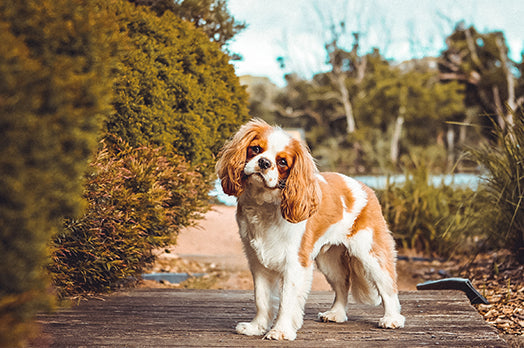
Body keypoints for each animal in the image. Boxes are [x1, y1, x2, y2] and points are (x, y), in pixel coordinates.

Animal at [215, 119, 404, 340]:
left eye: (282, 162)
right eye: (255, 149)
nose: (264, 162)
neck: (265, 204)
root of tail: (365, 186)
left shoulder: (295, 263)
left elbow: (287, 300)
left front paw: (280, 330)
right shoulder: (258, 263)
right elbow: (261, 299)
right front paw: (257, 327)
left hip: (370, 253)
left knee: (388, 286)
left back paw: (392, 318)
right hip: (329, 261)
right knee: (343, 284)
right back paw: (336, 314)